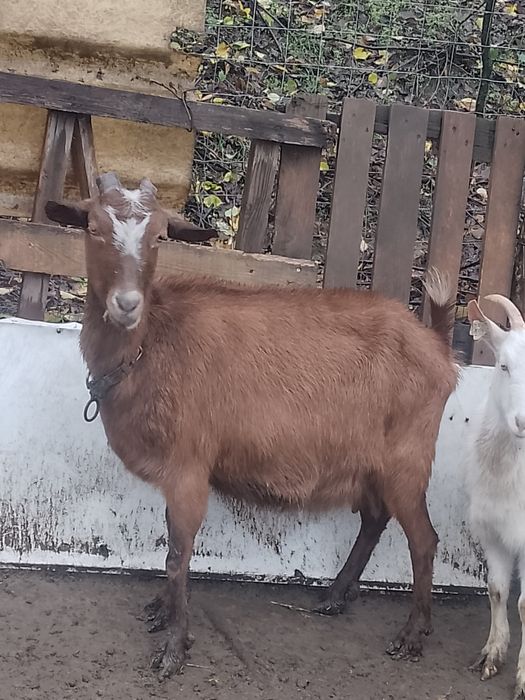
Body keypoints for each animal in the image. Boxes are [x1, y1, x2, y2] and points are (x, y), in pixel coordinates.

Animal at [45, 173, 457, 680]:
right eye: (93, 227)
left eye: (159, 235)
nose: (126, 305)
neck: (151, 346)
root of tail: (437, 347)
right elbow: (172, 545)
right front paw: (161, 612)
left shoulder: (188, 468)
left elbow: (178, 553)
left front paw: (173, 649)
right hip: (371, 464)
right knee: (376, 519)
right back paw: (336, 597)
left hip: (407, 460)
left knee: (424, 540)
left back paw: (412, 635)